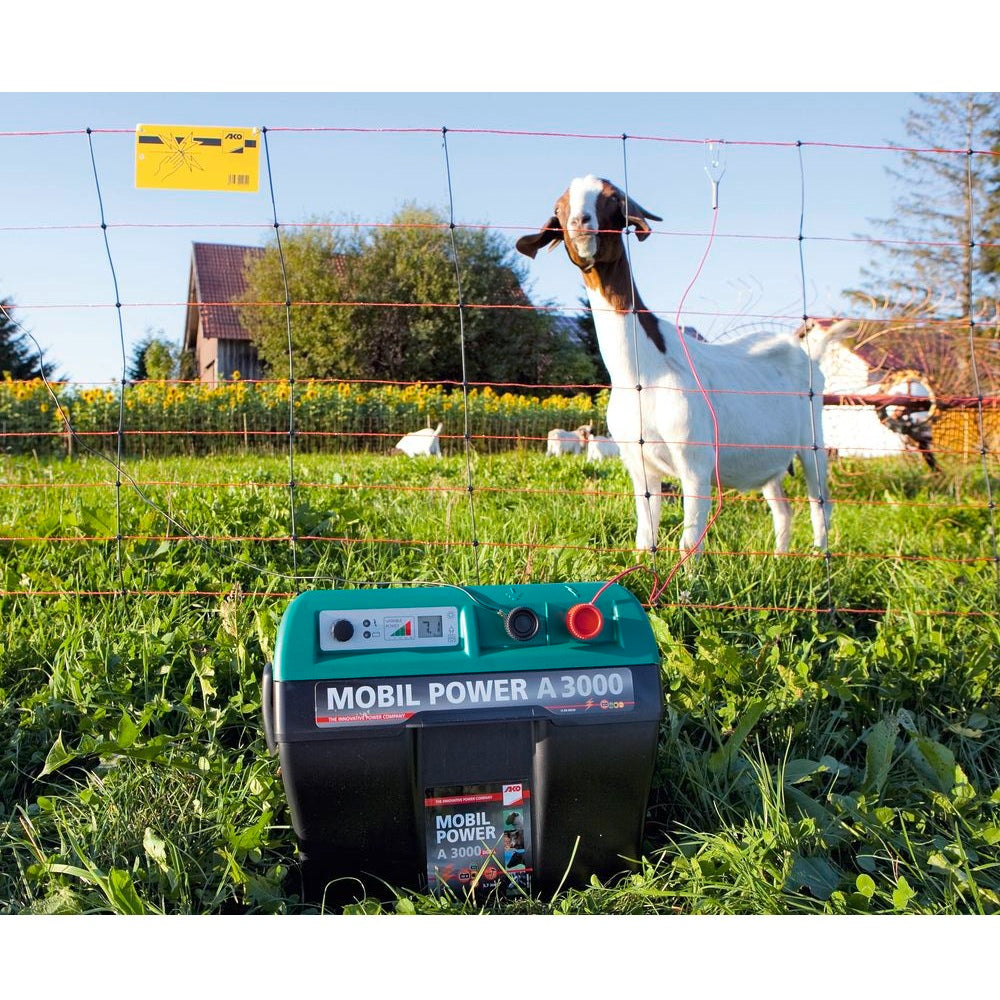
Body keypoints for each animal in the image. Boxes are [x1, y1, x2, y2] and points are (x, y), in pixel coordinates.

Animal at [516, 174, 845, 558]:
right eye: (558, 207)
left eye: (613, 201)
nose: (580, 223)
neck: (642, 373)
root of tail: (810, 352)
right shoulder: (638, 465)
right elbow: (645, 536)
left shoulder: (694, 463)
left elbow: (689, 543)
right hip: (771, 460)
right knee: (782, 507)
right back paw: (779, 559)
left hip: (813, 442)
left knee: (820, 502)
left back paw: (818, 557)